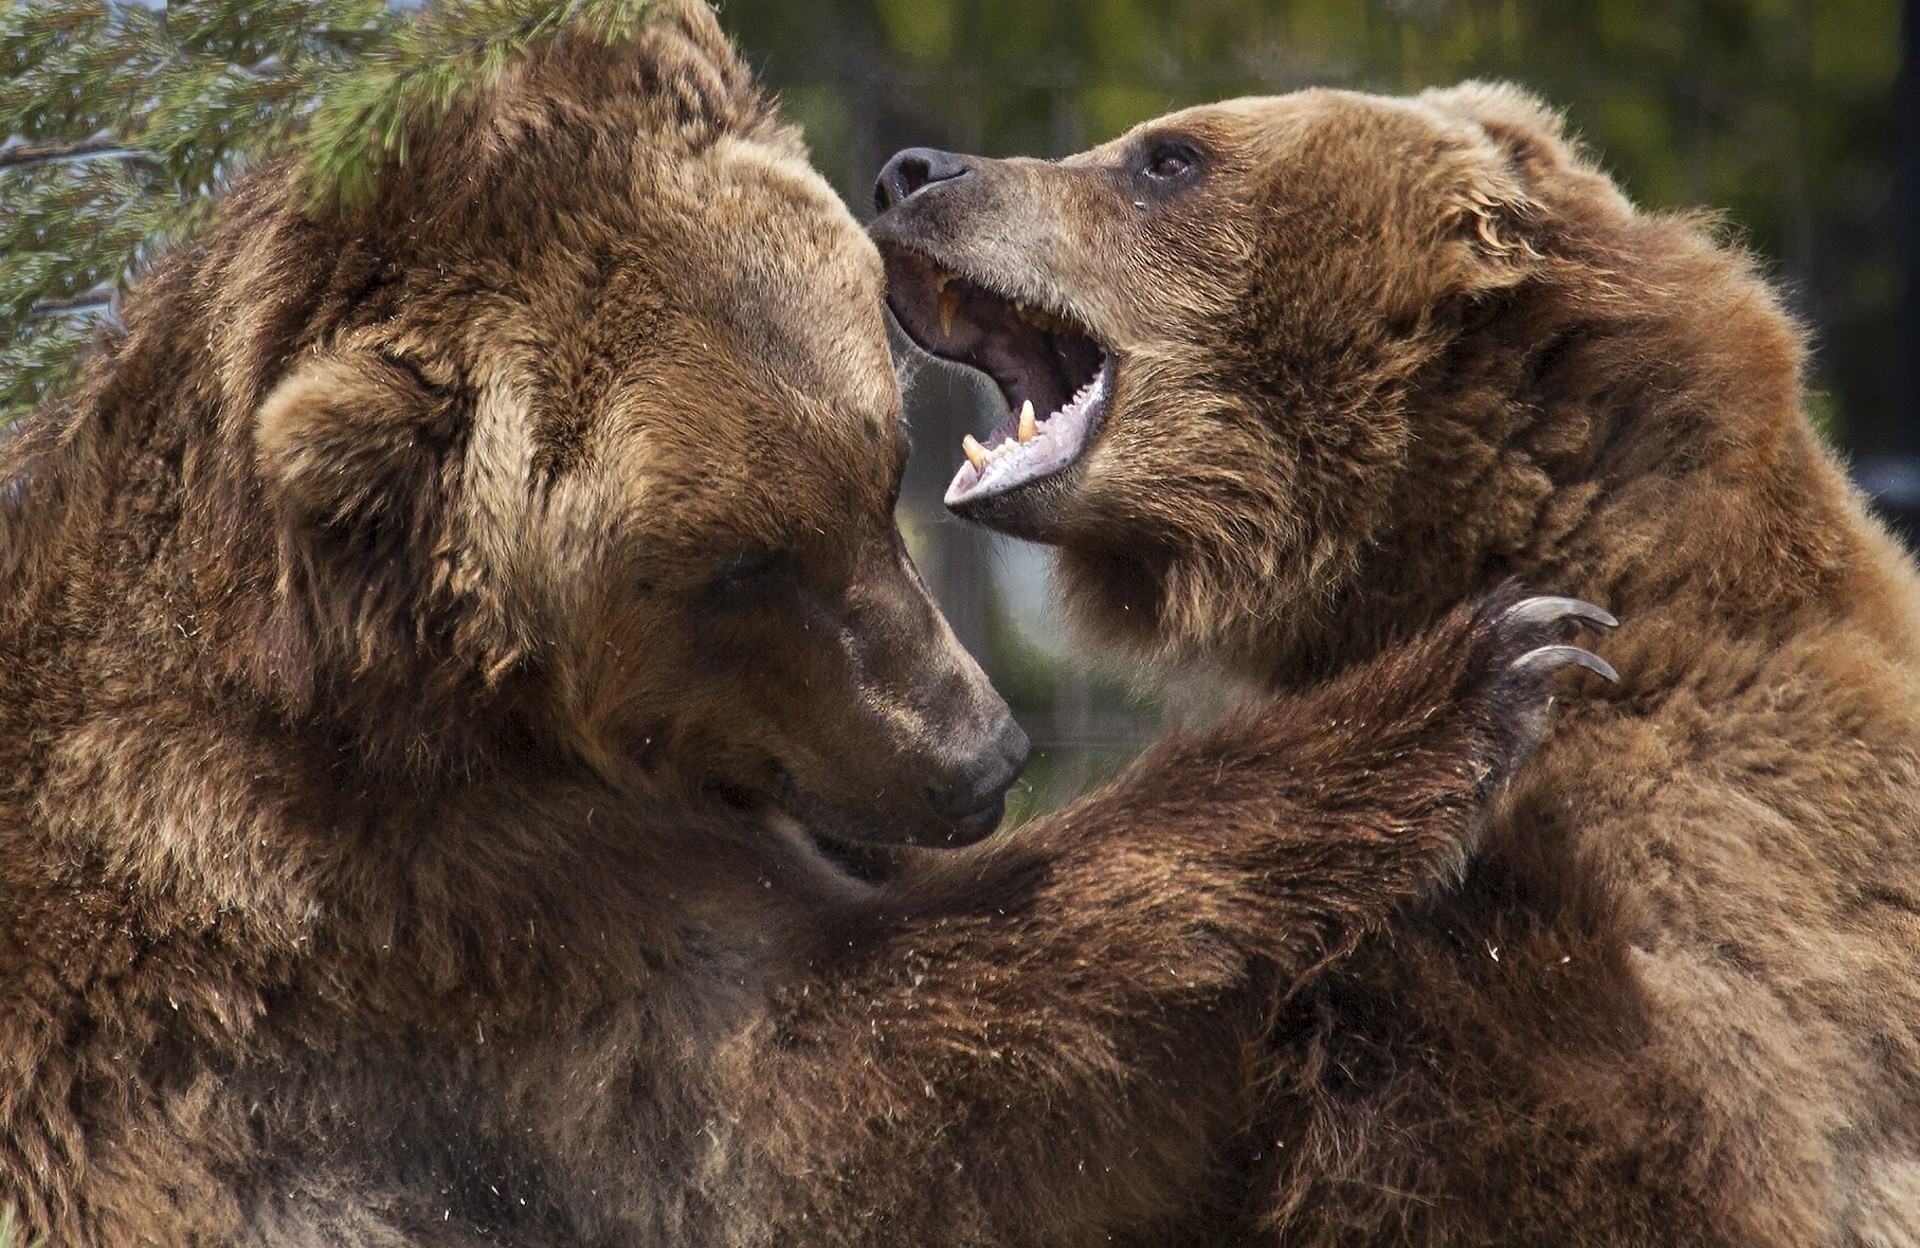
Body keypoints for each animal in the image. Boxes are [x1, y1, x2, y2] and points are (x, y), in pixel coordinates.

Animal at [3, 12, 1620, 1244]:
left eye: (877, 468)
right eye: (733, 566)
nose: (985, 759)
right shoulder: (422, 935)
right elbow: (846, 1100)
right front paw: (1478, 674)